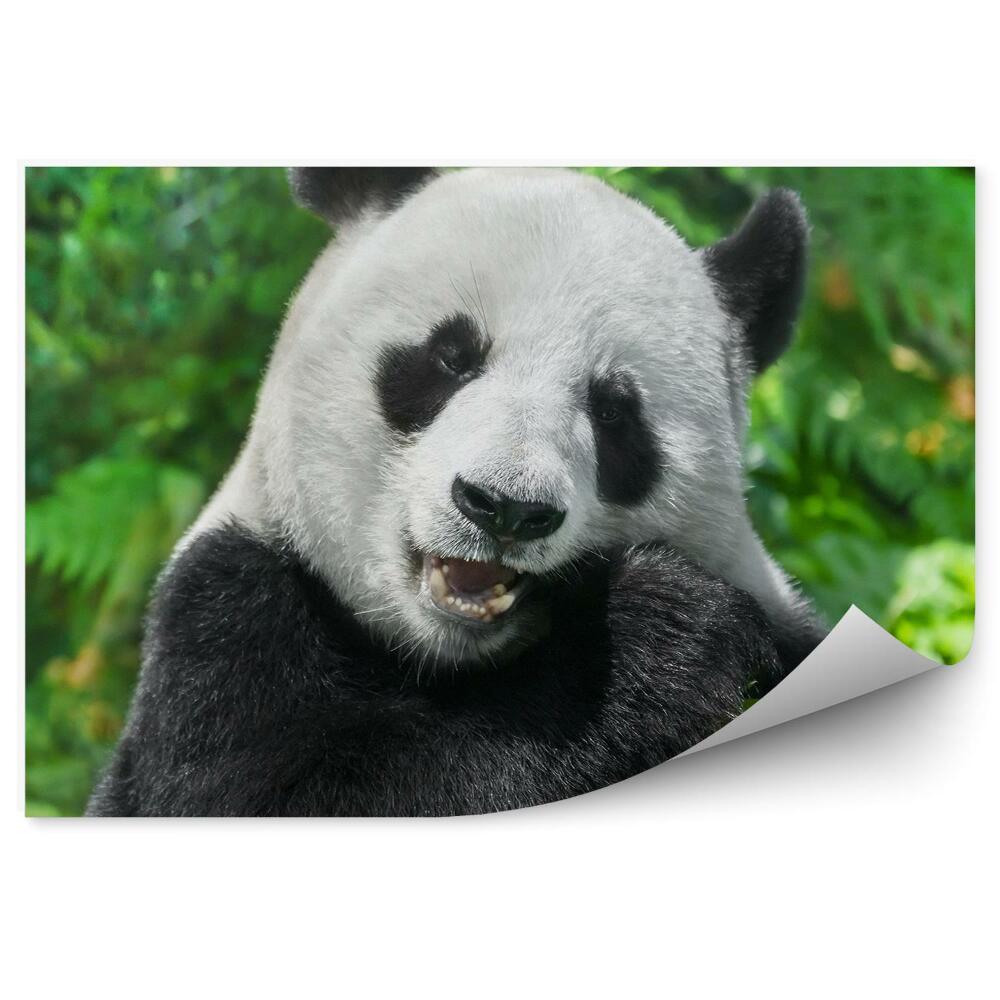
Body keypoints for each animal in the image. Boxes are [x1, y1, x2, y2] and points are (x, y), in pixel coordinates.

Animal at [87, 167, 825, 817]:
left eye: (614, 410)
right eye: (451, 357)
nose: (507, 507)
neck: (444, 661)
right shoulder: (228, 617)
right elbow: (307, 792)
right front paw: (662, 632)